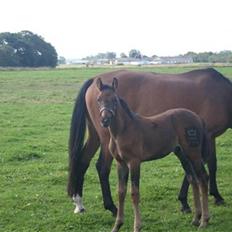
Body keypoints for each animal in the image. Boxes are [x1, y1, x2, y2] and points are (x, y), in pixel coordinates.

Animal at [96, 78, 210, 232]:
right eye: (98, 100)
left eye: (114, 100)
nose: (104, 120)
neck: (122, 132)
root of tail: (198, 118)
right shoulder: (121, 163)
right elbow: (121, 192)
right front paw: (117, 225)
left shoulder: (134, 162)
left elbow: (134, 193)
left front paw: (137, 226)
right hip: (182, 154)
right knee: (193, 179)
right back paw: (196, 219)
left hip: (194, 153)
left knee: (203, 178)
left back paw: (204, 220)